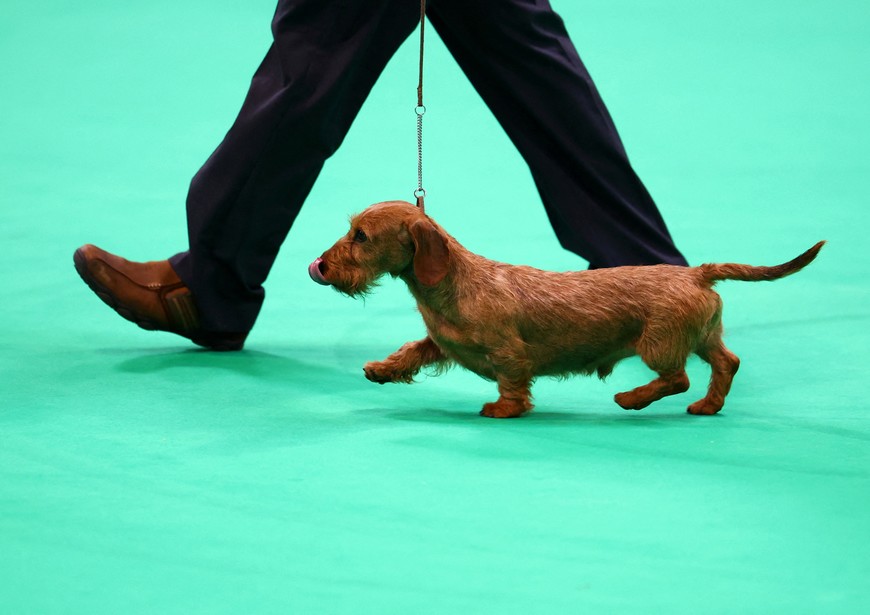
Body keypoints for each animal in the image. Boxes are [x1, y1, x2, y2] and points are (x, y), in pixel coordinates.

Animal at [310, 202, 828, 418]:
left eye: (361, 236)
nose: (320, 266)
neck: (457, 283)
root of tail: (696, 273)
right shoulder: (442, 343)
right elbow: (412, 351)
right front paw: (381, 369)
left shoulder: (509, 355)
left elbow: (512, 384)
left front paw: (504, 410)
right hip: (702, 335)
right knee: (726, 363)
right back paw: (707, 406)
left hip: (659, 344)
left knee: (676, 378)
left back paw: (632, 399)